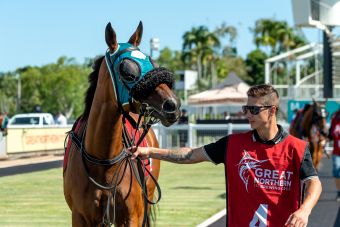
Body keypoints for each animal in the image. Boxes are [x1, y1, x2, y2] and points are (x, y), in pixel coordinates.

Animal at [63, 21, 181, 227]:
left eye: (151, 62)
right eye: (127, 71)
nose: (172, 105)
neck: (103, 163)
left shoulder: (132, 216)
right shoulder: (80, 216)